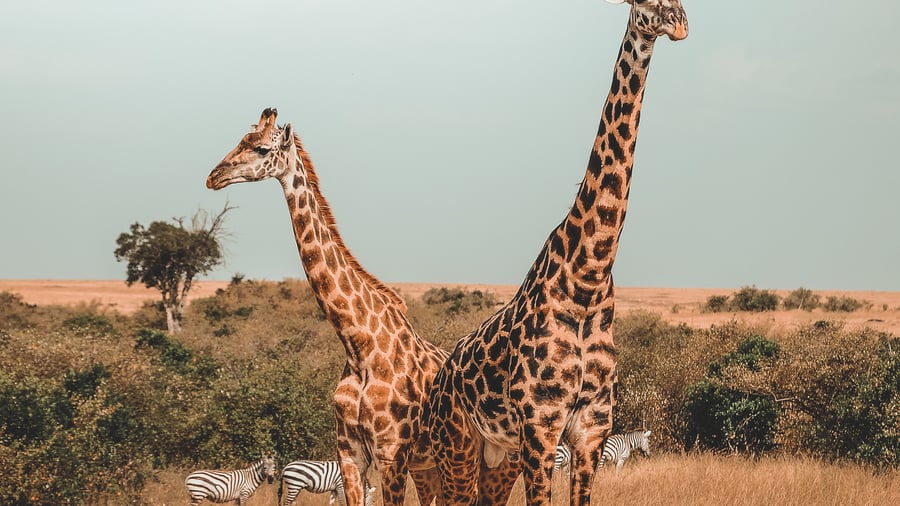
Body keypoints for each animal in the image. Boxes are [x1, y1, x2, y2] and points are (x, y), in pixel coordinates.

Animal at [205, 108, 518, 506]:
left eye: (261, 148)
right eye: (240, 140)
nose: (214, 177)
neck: (359, 345)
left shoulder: (391, 452)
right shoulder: (350, 451)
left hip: (488, 462)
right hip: (430, 468)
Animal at [424, 1, 688, 505]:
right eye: (642, 4)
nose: (680, 23)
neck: (587, 279)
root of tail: (440, 379)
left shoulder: (592, 427)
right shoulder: (541, 426)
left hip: (496, 455)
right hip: (457, 446)